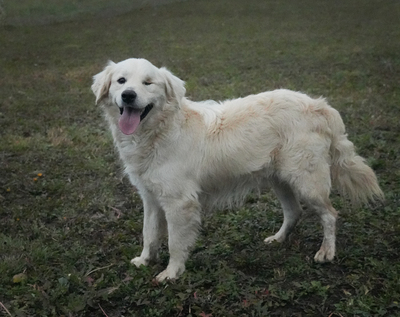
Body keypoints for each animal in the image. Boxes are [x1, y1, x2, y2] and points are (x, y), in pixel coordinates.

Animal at [91, 58, 384, 280]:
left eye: (148, 83)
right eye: (121, 81)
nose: (128, 95)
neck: (158, 132)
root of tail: (318, 104)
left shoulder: (179, 203)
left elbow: (175, 242)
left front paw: (172, 273)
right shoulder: (151, 198)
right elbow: (149, 234)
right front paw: (144, 260)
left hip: (307, 181)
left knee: (330, 215)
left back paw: (327, 252)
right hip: (280, 180)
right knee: (294, 212)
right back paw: (278, 239)